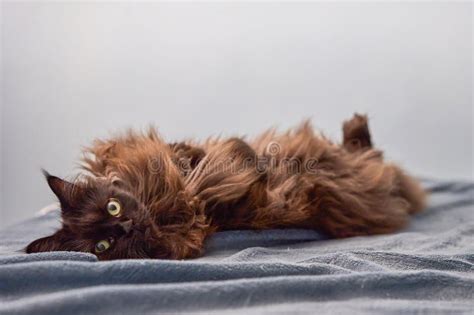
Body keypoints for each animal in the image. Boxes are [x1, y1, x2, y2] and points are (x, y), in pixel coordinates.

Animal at [25, 115, 426, 260]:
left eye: (113, 206)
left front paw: (185, 156)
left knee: (365, 149)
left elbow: (188, 155)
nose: (126, 226)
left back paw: (354, 125)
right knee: (373, 156)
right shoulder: (222, 211)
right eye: (104, 245)